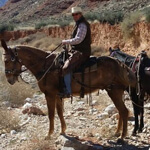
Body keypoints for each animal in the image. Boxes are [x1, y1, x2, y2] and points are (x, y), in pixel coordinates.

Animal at [1, 39, 137, 141]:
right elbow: (60, 112)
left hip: (114, 91)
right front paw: (62, 131)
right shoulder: (57, 95)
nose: (9, 79)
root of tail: (120, 64)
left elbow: (51, 114)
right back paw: (117, 133)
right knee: (121, 111)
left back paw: (122, 136)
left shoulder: (49, 95)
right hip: (115, 92)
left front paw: (49, 134)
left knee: (124, 111)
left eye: (7, 60)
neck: (46, 66)